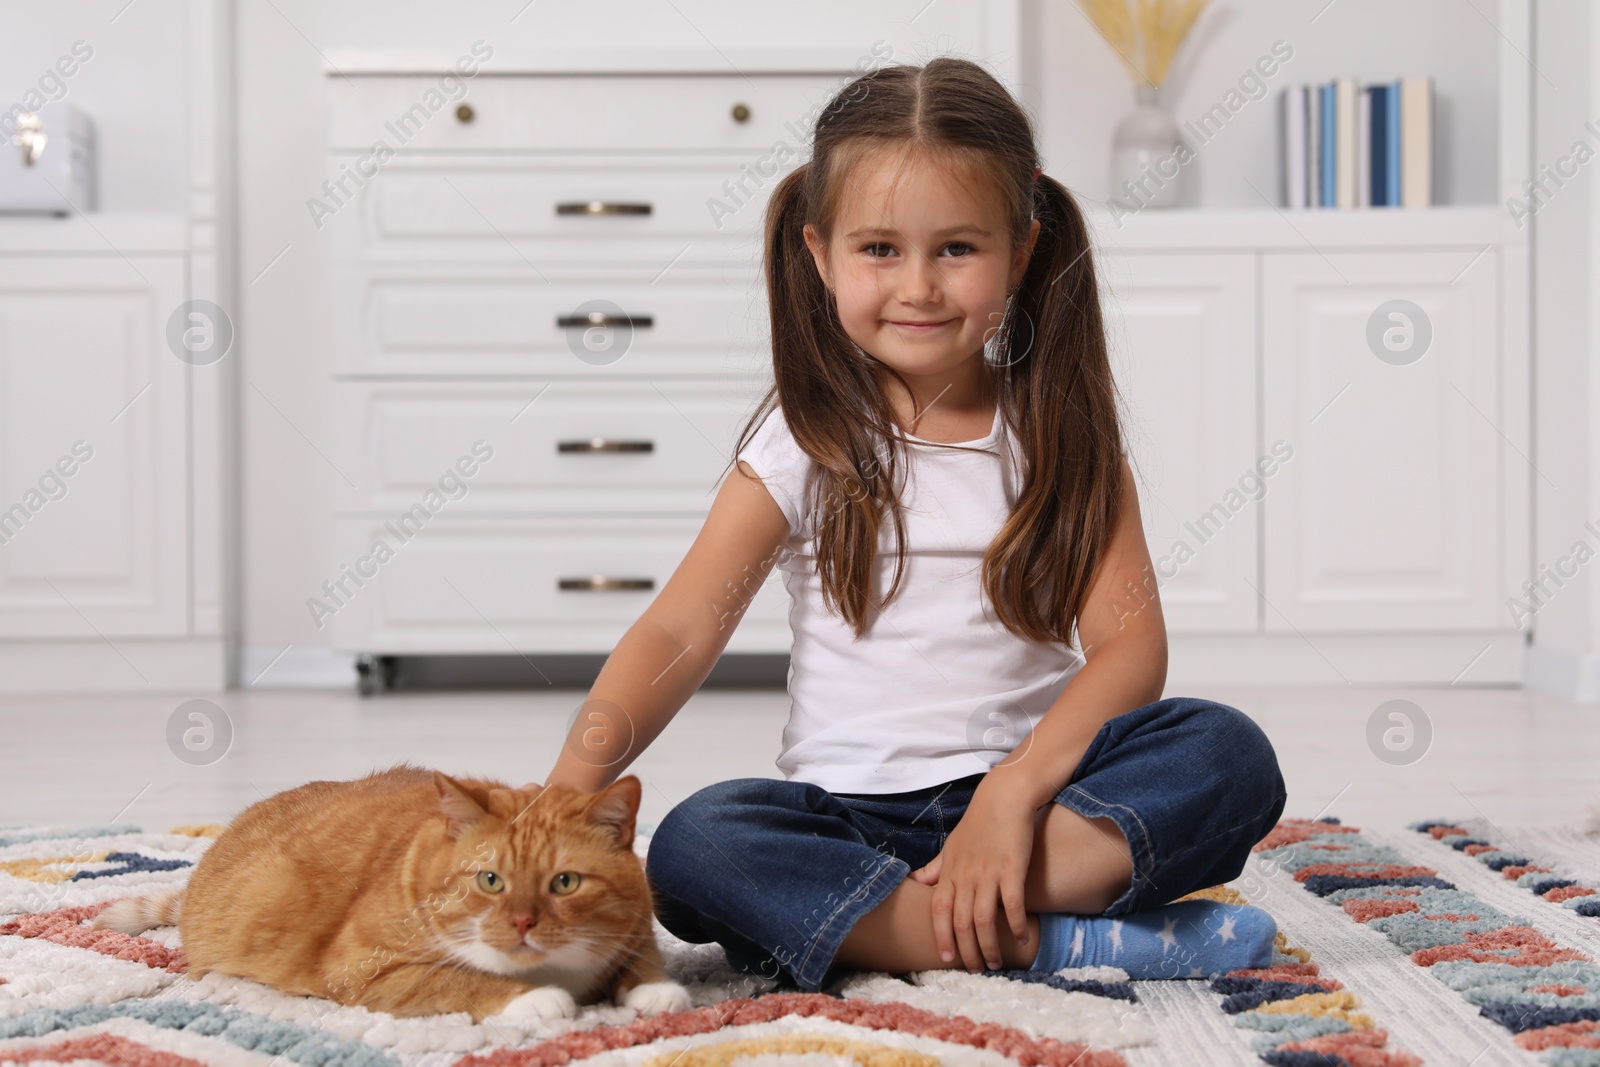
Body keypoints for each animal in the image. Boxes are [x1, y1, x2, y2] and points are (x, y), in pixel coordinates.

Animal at [95, 764, 688, 1023]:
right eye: (489, 880)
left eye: (564, 882)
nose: (522, 923)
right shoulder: (365, 971)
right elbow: (462, 980)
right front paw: (535, 999)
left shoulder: (637, 926)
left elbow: (641, 959)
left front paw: (655, 991)